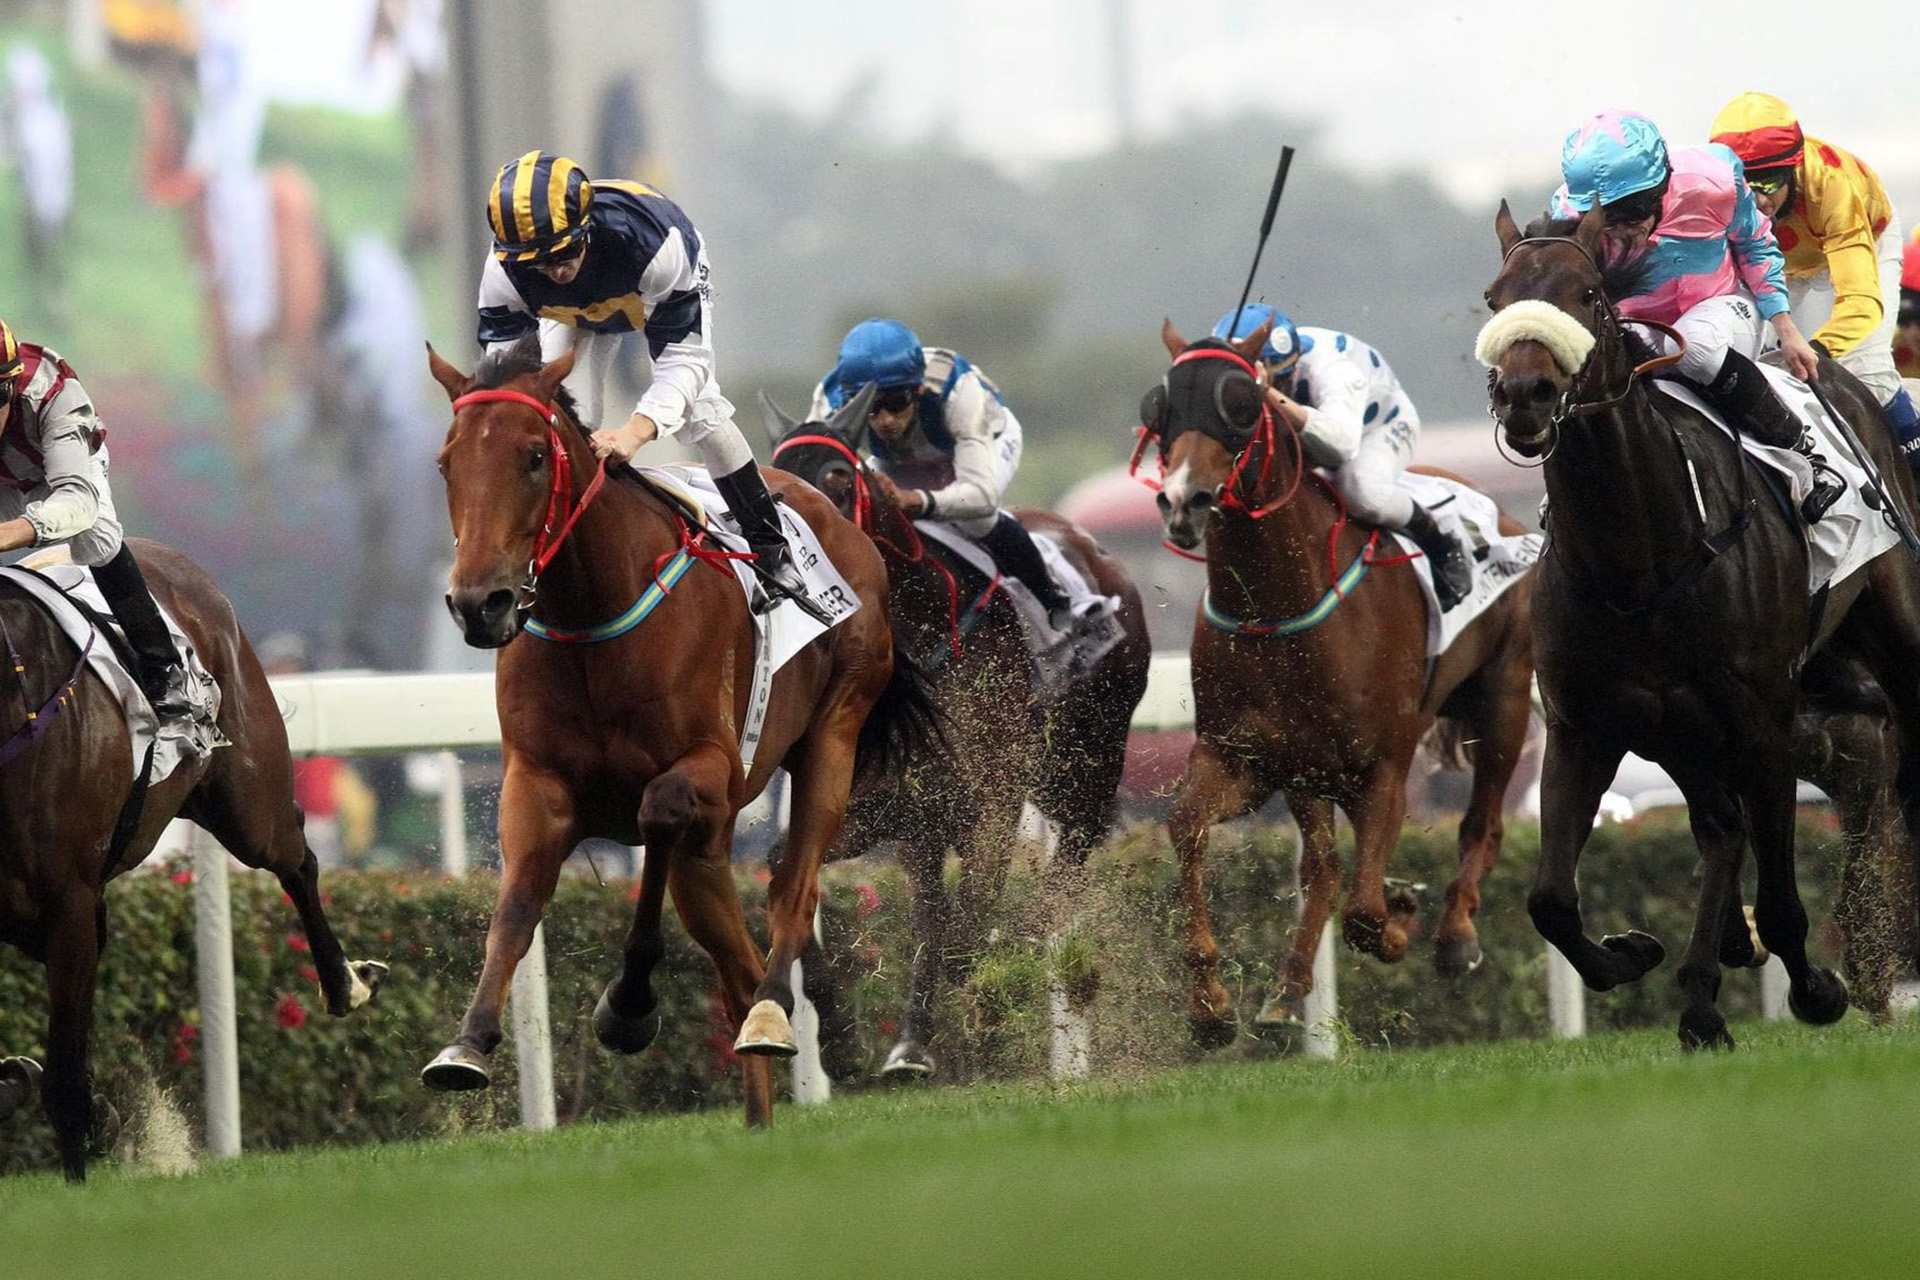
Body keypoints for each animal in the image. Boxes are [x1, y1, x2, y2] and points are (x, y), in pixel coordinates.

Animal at [424, 343, 933, 1128]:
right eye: (447, 462)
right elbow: (514, 908)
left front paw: (629, 1005)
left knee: (792, 893)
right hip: (713, 851)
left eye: (535, 456)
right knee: (735, 964)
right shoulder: (536, 782)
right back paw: (761, 1103)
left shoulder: (713, 770)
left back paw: (776, 1015)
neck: (591, 614)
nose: (481, 604)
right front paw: (468, 1042)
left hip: (833, 736)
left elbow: (658, 811)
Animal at [764, 387, 1152, 1074]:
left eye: (836, 477)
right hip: (946, 820)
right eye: (774, 479)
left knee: (1065, 871)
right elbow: (790, 870)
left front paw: (986, 1015)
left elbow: (970, 925)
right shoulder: (892, 806)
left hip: (1088, 766)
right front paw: (838, 1035)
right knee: (931, 911)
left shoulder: (992, 804)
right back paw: (912, 1043)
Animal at [1144, 314, 1536, 1043]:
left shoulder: (1383, 768)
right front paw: (1210, 1004)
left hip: (1504, 697)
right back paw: (1287, 989)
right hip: (1311, 772)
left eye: (1241, 404)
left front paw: (1398, 921)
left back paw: (1454, 935)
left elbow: (1363, 912)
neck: (1275, 608)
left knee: (1484, 823)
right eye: (1159, 408)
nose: (1184, 500)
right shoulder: (1248, 759)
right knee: (1322, 868)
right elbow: (1188, 826)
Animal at [1482, 205, 1920, 1051]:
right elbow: (1550, 900)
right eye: (1495, 298)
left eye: (1588, 293)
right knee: (1720, 829)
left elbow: (1782, 899)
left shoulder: (1762, 723)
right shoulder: (1586, 725)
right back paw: (1700, 994)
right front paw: (1633, 952)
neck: (1640, 561)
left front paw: (1818, 988)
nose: (1525, 394)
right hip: (1677, 728)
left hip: (1893, 622)